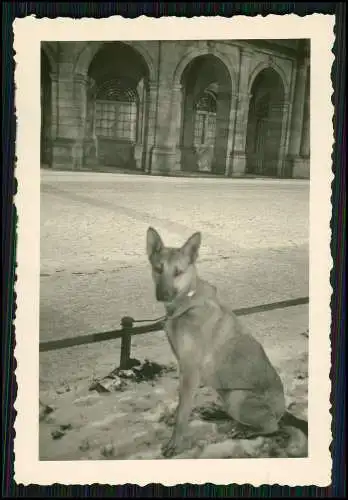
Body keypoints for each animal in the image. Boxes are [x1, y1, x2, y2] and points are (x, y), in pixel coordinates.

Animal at [145, 227, 308, 458]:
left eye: (178, 272)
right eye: (158, 269)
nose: (163, 295)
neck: (187, 304)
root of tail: (282, 411)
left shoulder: (191, 371)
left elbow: (182, 413)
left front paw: (175, 443)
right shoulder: (183, 368)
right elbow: (180, 406)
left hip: (237, 397)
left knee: (271, 427)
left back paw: (247, 431)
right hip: (225, 393)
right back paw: (216, 413)